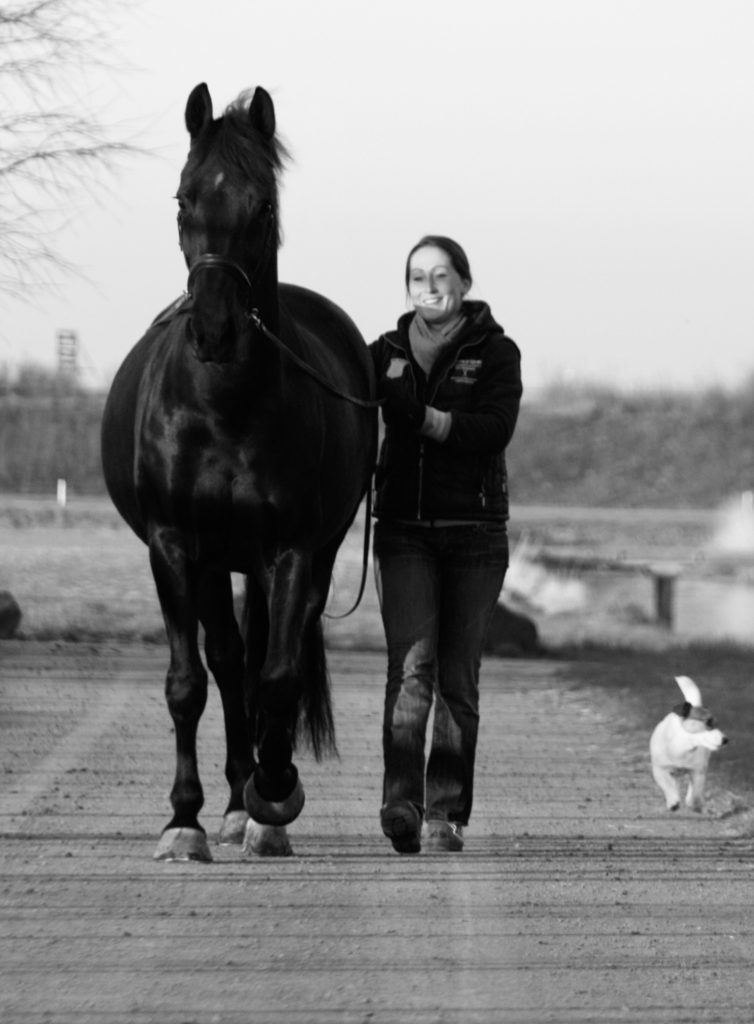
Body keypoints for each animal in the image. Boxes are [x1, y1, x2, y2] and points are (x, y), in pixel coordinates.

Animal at [100, 83, 377, 860]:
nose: (216, 329)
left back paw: (251, 801)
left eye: (264, 206)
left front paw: (274, 793)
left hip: (307, 555)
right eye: (183, 198)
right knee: (226, 661)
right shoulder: (174, 547)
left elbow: (278, 677)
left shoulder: (290, 550)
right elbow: (188, 682)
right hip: (211, 560)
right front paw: (184, 820)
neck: (224, 406)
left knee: (263, 661)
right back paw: (224, 803)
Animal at [651, 675, 729, 811]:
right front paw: (673, 801)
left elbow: (696, 791)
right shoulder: (659, 770)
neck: (684, 747)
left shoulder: (697, 771)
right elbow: (667, 786)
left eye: (717, 724)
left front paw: (695, 804)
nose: (725, 740)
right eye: (708, 723)